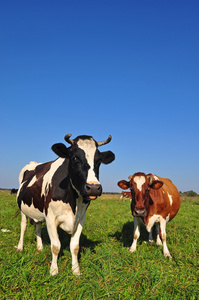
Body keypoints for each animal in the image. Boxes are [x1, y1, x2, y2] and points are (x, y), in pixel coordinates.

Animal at [17, 135, 115, 276]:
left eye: (98, 161)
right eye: (75, 158)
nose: (93, 188)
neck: (73, 201)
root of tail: (32, 163)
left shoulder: (81, 218)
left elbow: (74, 246)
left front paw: (76, 270)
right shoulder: (51, 218)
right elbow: (55, 246)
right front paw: (53, 270)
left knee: (37, 226)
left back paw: (40, 247)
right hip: (22, 209)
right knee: (23, 226)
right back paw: (20, 247)